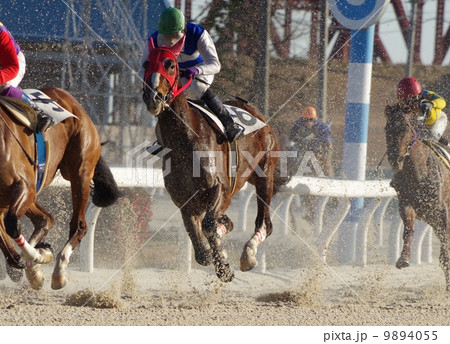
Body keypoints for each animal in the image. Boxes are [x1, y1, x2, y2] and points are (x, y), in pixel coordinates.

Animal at [0, 87, 119, 288]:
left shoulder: (25, 186)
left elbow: (12, 224)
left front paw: (38, 256)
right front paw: (32, 261)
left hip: (79, 173)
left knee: (79, 225)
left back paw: (59, 270)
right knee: (44, 219)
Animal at [142, 37, 280, 280]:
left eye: (170, 64)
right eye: (145, 64)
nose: (153, 97)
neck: (186, 139)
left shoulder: (220, 188)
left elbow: (208, 225)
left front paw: (223, 266)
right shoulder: (185, 201)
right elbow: (200, 247)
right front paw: (218, 257)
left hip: (265, 174)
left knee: (264, 223)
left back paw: (248, 254)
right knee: (228, 223)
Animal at [384, 104, 450, 290]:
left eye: (405, 129)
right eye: (387, 129)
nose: (395, 159)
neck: (418, 172)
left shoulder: (442, 210)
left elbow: (446, 256)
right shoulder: (407, 203)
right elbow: (408, 229)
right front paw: (403, 258)